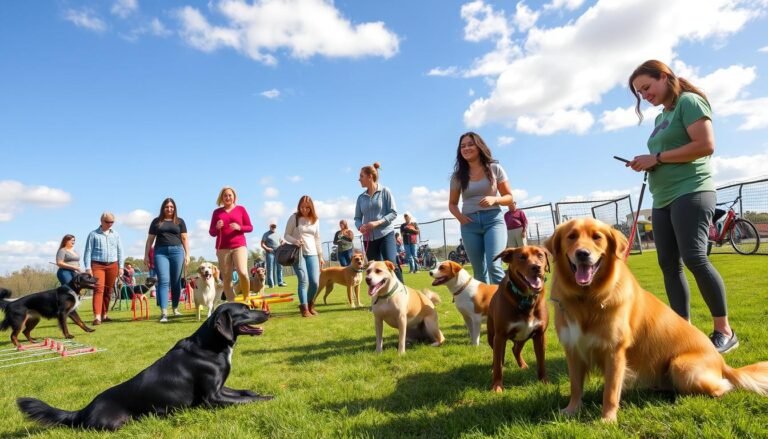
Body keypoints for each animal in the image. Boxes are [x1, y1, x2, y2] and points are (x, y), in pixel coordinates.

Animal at [16, 304, 274, 432]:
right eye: (245, 310)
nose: (268, 312)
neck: (211, 345)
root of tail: (83, 410)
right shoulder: (212, 398)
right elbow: (246, 400)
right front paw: (268, 399)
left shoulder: (221, 387)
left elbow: (245, 392)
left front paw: (262, 393)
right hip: (116, 422)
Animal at [488, 246, 548, 394]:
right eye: (521, 257)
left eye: (540, 255)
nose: (536, 267)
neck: (526, 298)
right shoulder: (500, 336)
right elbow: (498, 363)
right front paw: (497, 386)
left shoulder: (540, 335)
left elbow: (541, 362)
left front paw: (544, 381)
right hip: (492, 336)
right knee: (498, 355)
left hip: (523, 337)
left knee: (515, 349)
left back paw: (523, 365)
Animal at [544, 220, 768, 422]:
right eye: (571, 236)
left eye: (596, 237)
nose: (582, 254)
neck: (587, 299)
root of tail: (722, 362)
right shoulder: (573, 349)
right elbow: (575, 386)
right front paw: (571, 409)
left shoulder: (614, 352)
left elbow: (610, 391)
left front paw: (607, 419)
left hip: (681, 366)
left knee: (723, 387)